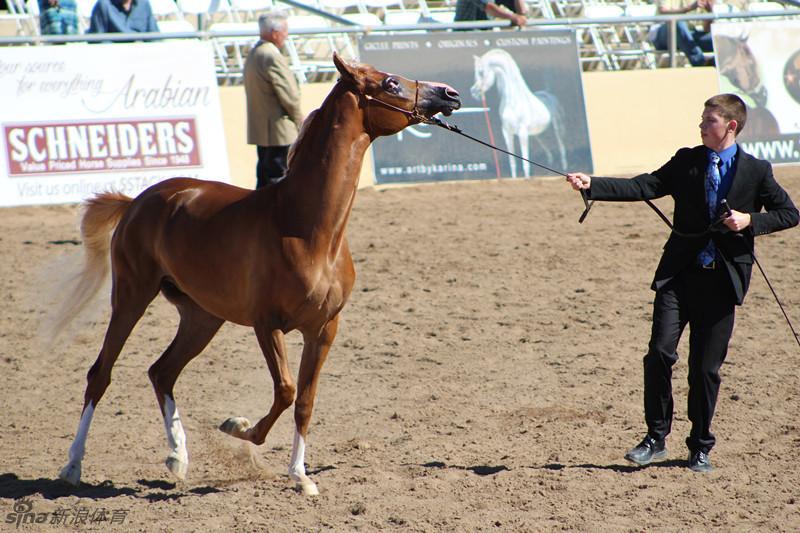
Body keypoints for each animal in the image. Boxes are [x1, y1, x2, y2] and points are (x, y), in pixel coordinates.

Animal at [56, 54, 462, 494]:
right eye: (390, 83)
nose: (450, 93)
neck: (307, 229)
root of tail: (138, 201)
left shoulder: (324, 330)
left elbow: (305, 401)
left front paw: (301, 476)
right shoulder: (267, 325)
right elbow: (285, 390)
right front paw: (239, 427)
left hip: (202, 316)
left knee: (162, 372)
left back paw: (178, 458)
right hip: (132, 295)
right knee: (101, 374)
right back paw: (73, 466)